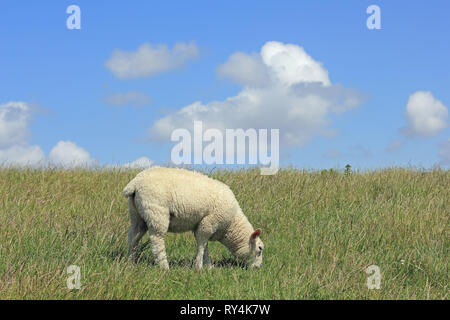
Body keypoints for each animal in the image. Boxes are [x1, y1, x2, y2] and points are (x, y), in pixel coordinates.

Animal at [123, 168, 264, 270]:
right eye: (260, 249)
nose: (258, 268)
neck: (231, 225)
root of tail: (135, 182)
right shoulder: (208, 223)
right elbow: (202, 244)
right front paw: (199, 267)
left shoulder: (203, 225)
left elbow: (205, 246)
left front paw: (208, 266)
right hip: (157, 212)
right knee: (157, 240)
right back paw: (164, 267)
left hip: (137, 214)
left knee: (133, 237)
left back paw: (130, 262)